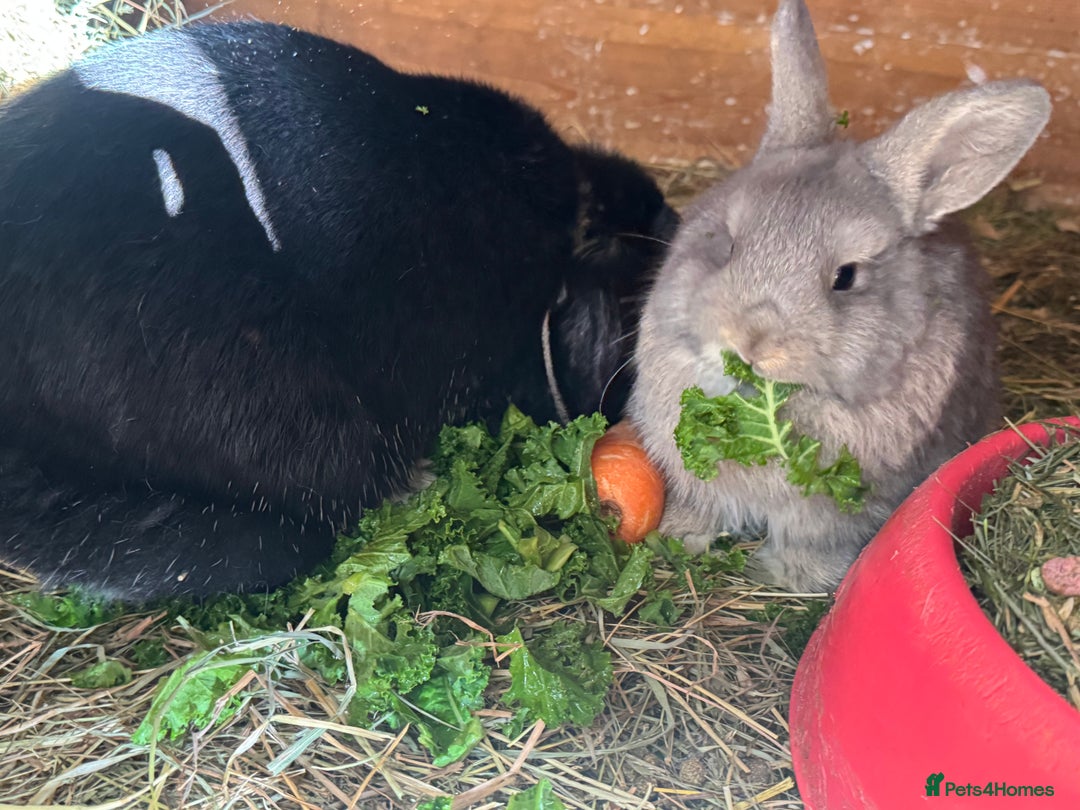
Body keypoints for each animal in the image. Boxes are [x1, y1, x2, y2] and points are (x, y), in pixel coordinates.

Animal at [627, 0, 1051, 592]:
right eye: (727, 243)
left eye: (845, 277)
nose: (749, 344)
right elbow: (702, 507)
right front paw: (679, 538)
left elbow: (812, 541)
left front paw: (793, 579)